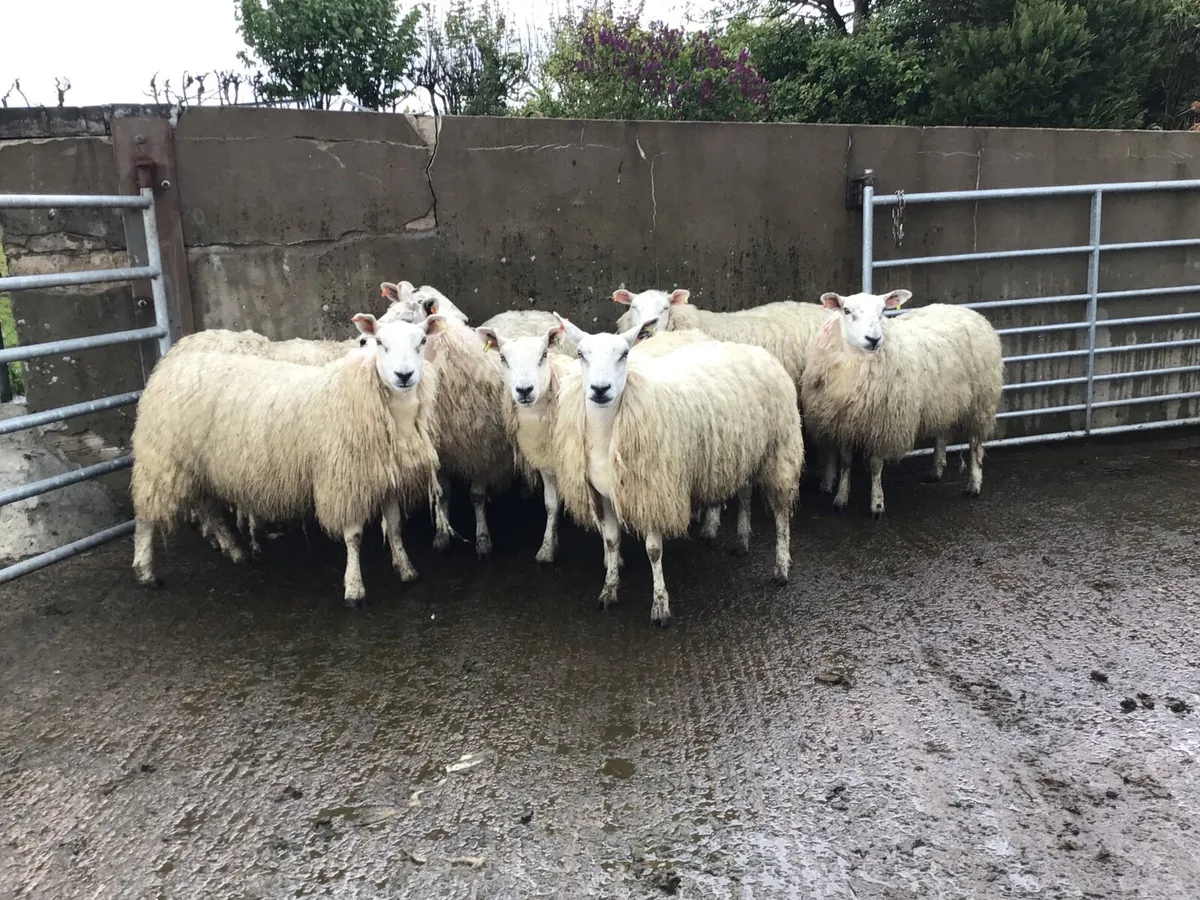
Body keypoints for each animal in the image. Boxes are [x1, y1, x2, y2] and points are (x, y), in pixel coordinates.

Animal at [130, 313, 446, 608]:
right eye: (379, 342)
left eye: (422, 341)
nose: (403, 375)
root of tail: (169, 364)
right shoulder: (342, 482)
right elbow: (354, 537)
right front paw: (354, 589)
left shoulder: (387, 478)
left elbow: (394, 527)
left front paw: (406, 569)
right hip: (162, 461)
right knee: (145, 516)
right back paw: (145, 571)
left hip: (201, 466)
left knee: (209, 507)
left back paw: (234, 550)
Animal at [476, 320, 712, 565]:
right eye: (502, 357)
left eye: (543, 355)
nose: (524, 390)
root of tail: (691, 332)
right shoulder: (549, 467)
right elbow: (551, 505)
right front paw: (548, 547)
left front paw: (611, 559)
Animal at [552, 315, 805, 626]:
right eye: (580, 354)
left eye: (624, 354)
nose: (600, 389)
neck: (608, 434)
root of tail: (756, 351)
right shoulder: (603, 493)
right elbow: (611, 542)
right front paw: (608, 590)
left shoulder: (653, 490)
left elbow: (653, 550)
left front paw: (660, 606)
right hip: (742, 452)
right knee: (745, 493)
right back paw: (742, 541)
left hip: (780, 448)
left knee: (781, 513)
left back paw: (781, 567)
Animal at [799, 289, 1003, 519]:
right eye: (846, 310)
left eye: (882, 311)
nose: (873, 339)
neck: (856, 363)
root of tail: (970, 312)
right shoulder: (844, 423)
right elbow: (845, 461)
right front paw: (841, 498)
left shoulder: (882, 426)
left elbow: (875, 465)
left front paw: (877, 505)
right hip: (944, 400)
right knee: (942, 434)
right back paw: (936, 471)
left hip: (982, 402)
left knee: (976, 445)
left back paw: (974, 485)